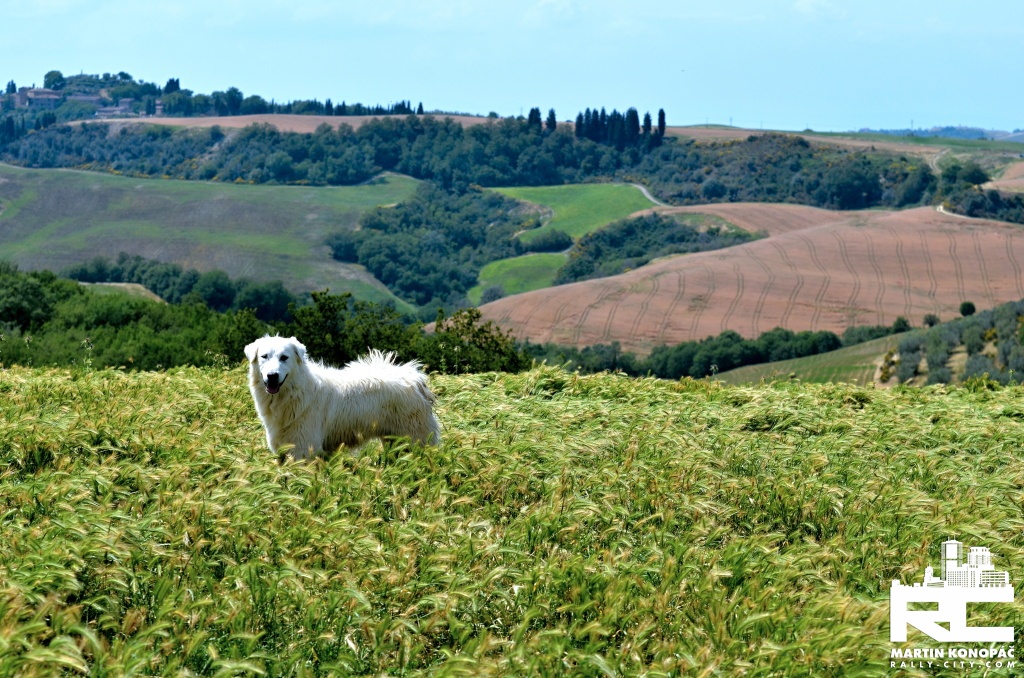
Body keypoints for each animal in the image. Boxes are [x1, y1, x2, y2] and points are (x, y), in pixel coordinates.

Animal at [244, 335, 441, 460]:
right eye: (264, 356)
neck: (295, 393)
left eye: (284, 357)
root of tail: (415, 379)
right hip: (394, 441)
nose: (272, 376)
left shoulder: (304, 449)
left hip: (415, 440)